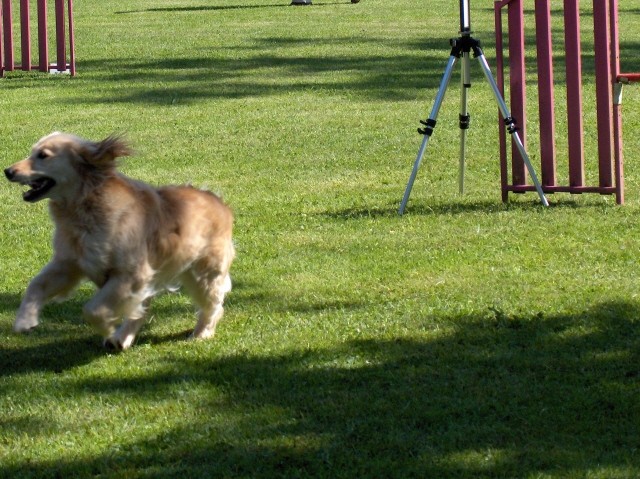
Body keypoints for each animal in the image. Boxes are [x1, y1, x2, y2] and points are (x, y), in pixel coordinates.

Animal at [3, 133, 234, 350]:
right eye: (32, 152)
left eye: (43, 155)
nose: (7, 171)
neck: (85, 208)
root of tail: (218, 201)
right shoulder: (68, 264)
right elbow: (36, 285)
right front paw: (25, 320)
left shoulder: (130, 275)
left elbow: (93, 309)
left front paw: (107, 327)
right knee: (141, 312)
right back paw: (123, 337)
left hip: (203, 276)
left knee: (213, 306)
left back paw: (202, 332)